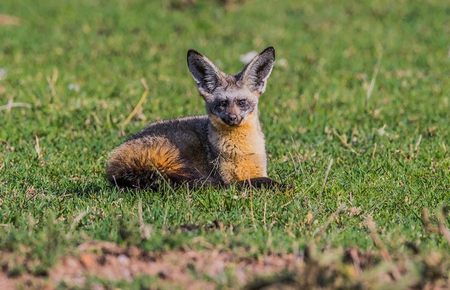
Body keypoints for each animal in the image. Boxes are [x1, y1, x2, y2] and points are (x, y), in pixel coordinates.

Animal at [106, 47, 284, 190]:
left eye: (242, 102)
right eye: (222, 104)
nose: (232, 118)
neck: (241, 150)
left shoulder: (256, 170)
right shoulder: (228, 178)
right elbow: (256, 182)